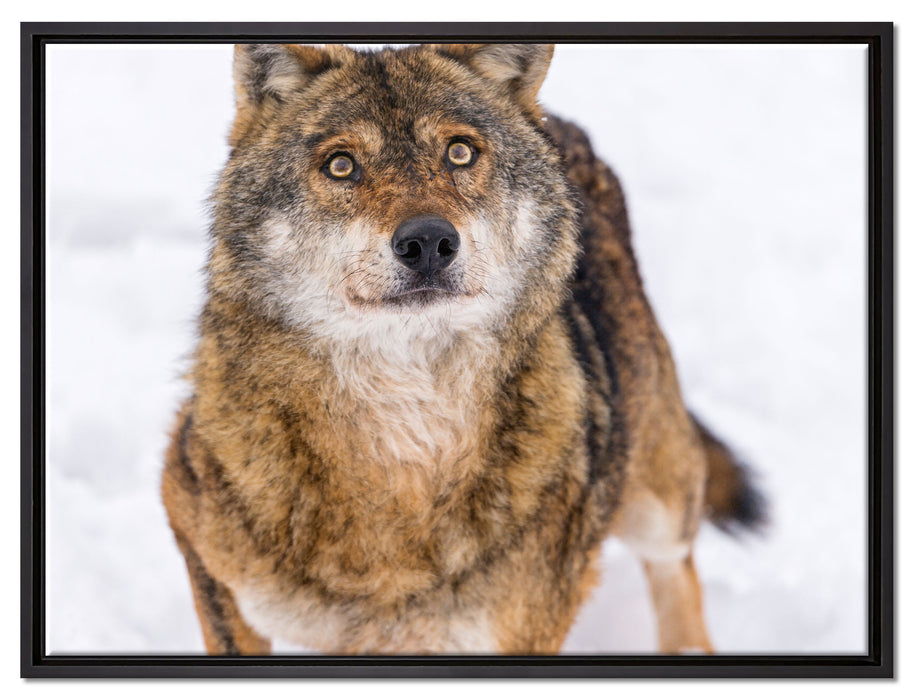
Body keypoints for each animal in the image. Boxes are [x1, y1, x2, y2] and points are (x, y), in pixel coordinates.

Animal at [161, 42, 766, 655]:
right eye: (341, 165)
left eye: (459, 152)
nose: (428, 240)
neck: (405, 436)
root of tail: (559, 125)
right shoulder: (202, 551)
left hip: (657, 500)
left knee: (677, 568)